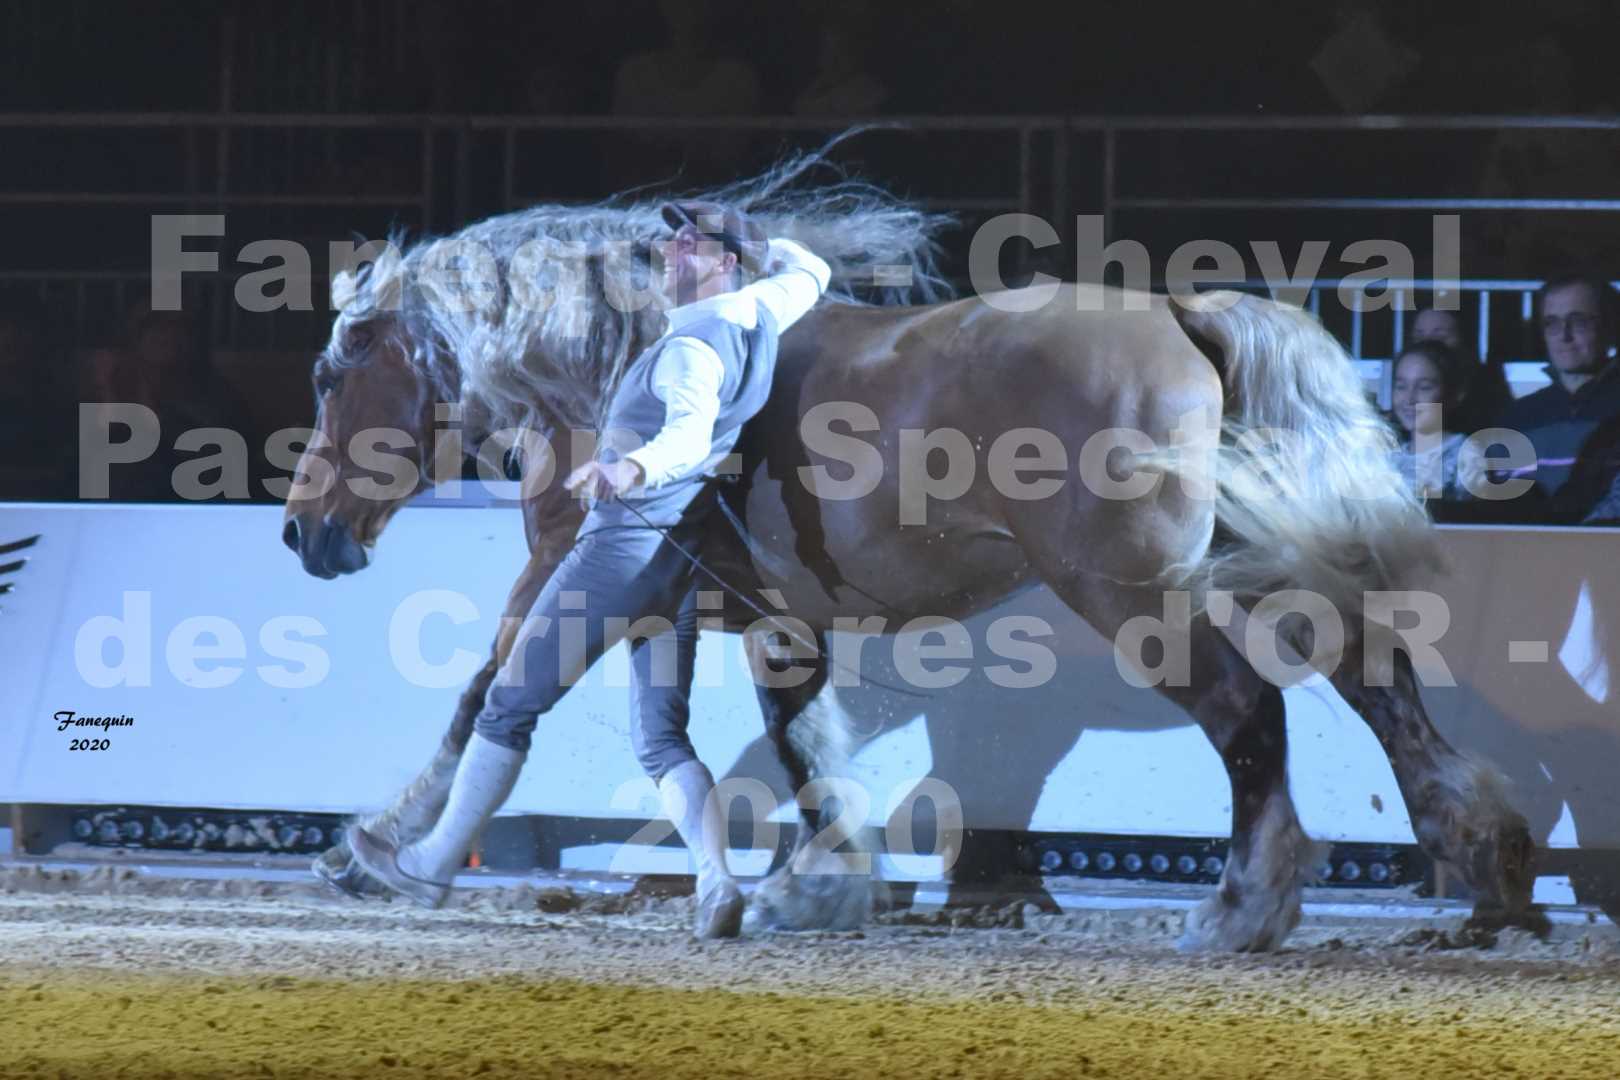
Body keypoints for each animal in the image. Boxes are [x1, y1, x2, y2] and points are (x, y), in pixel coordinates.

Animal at [278, 165, 1529, 952]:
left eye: (332, 373)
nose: (303, 532)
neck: (619, 362)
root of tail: (1180, 317)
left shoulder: (567, 577)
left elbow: (484, 696)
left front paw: (377, 845)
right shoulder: (767, 619)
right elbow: (801, 748)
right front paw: (814, 889)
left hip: (1138, 600)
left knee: (1250, 715)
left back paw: (1244, 910)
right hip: (1248, 564)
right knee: (1374, 676)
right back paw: (1488, 866)